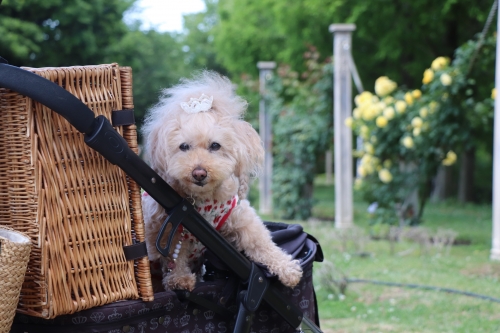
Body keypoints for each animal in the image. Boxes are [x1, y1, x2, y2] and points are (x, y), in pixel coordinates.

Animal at [143, 70, 302, 290]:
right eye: (183, 146)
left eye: (215, 145)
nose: (199, 173)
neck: (204, 202)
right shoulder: (169, 231)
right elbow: (177, 256)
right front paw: (180, 279)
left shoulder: (240, 217)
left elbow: (261, 242)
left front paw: (287, 269)